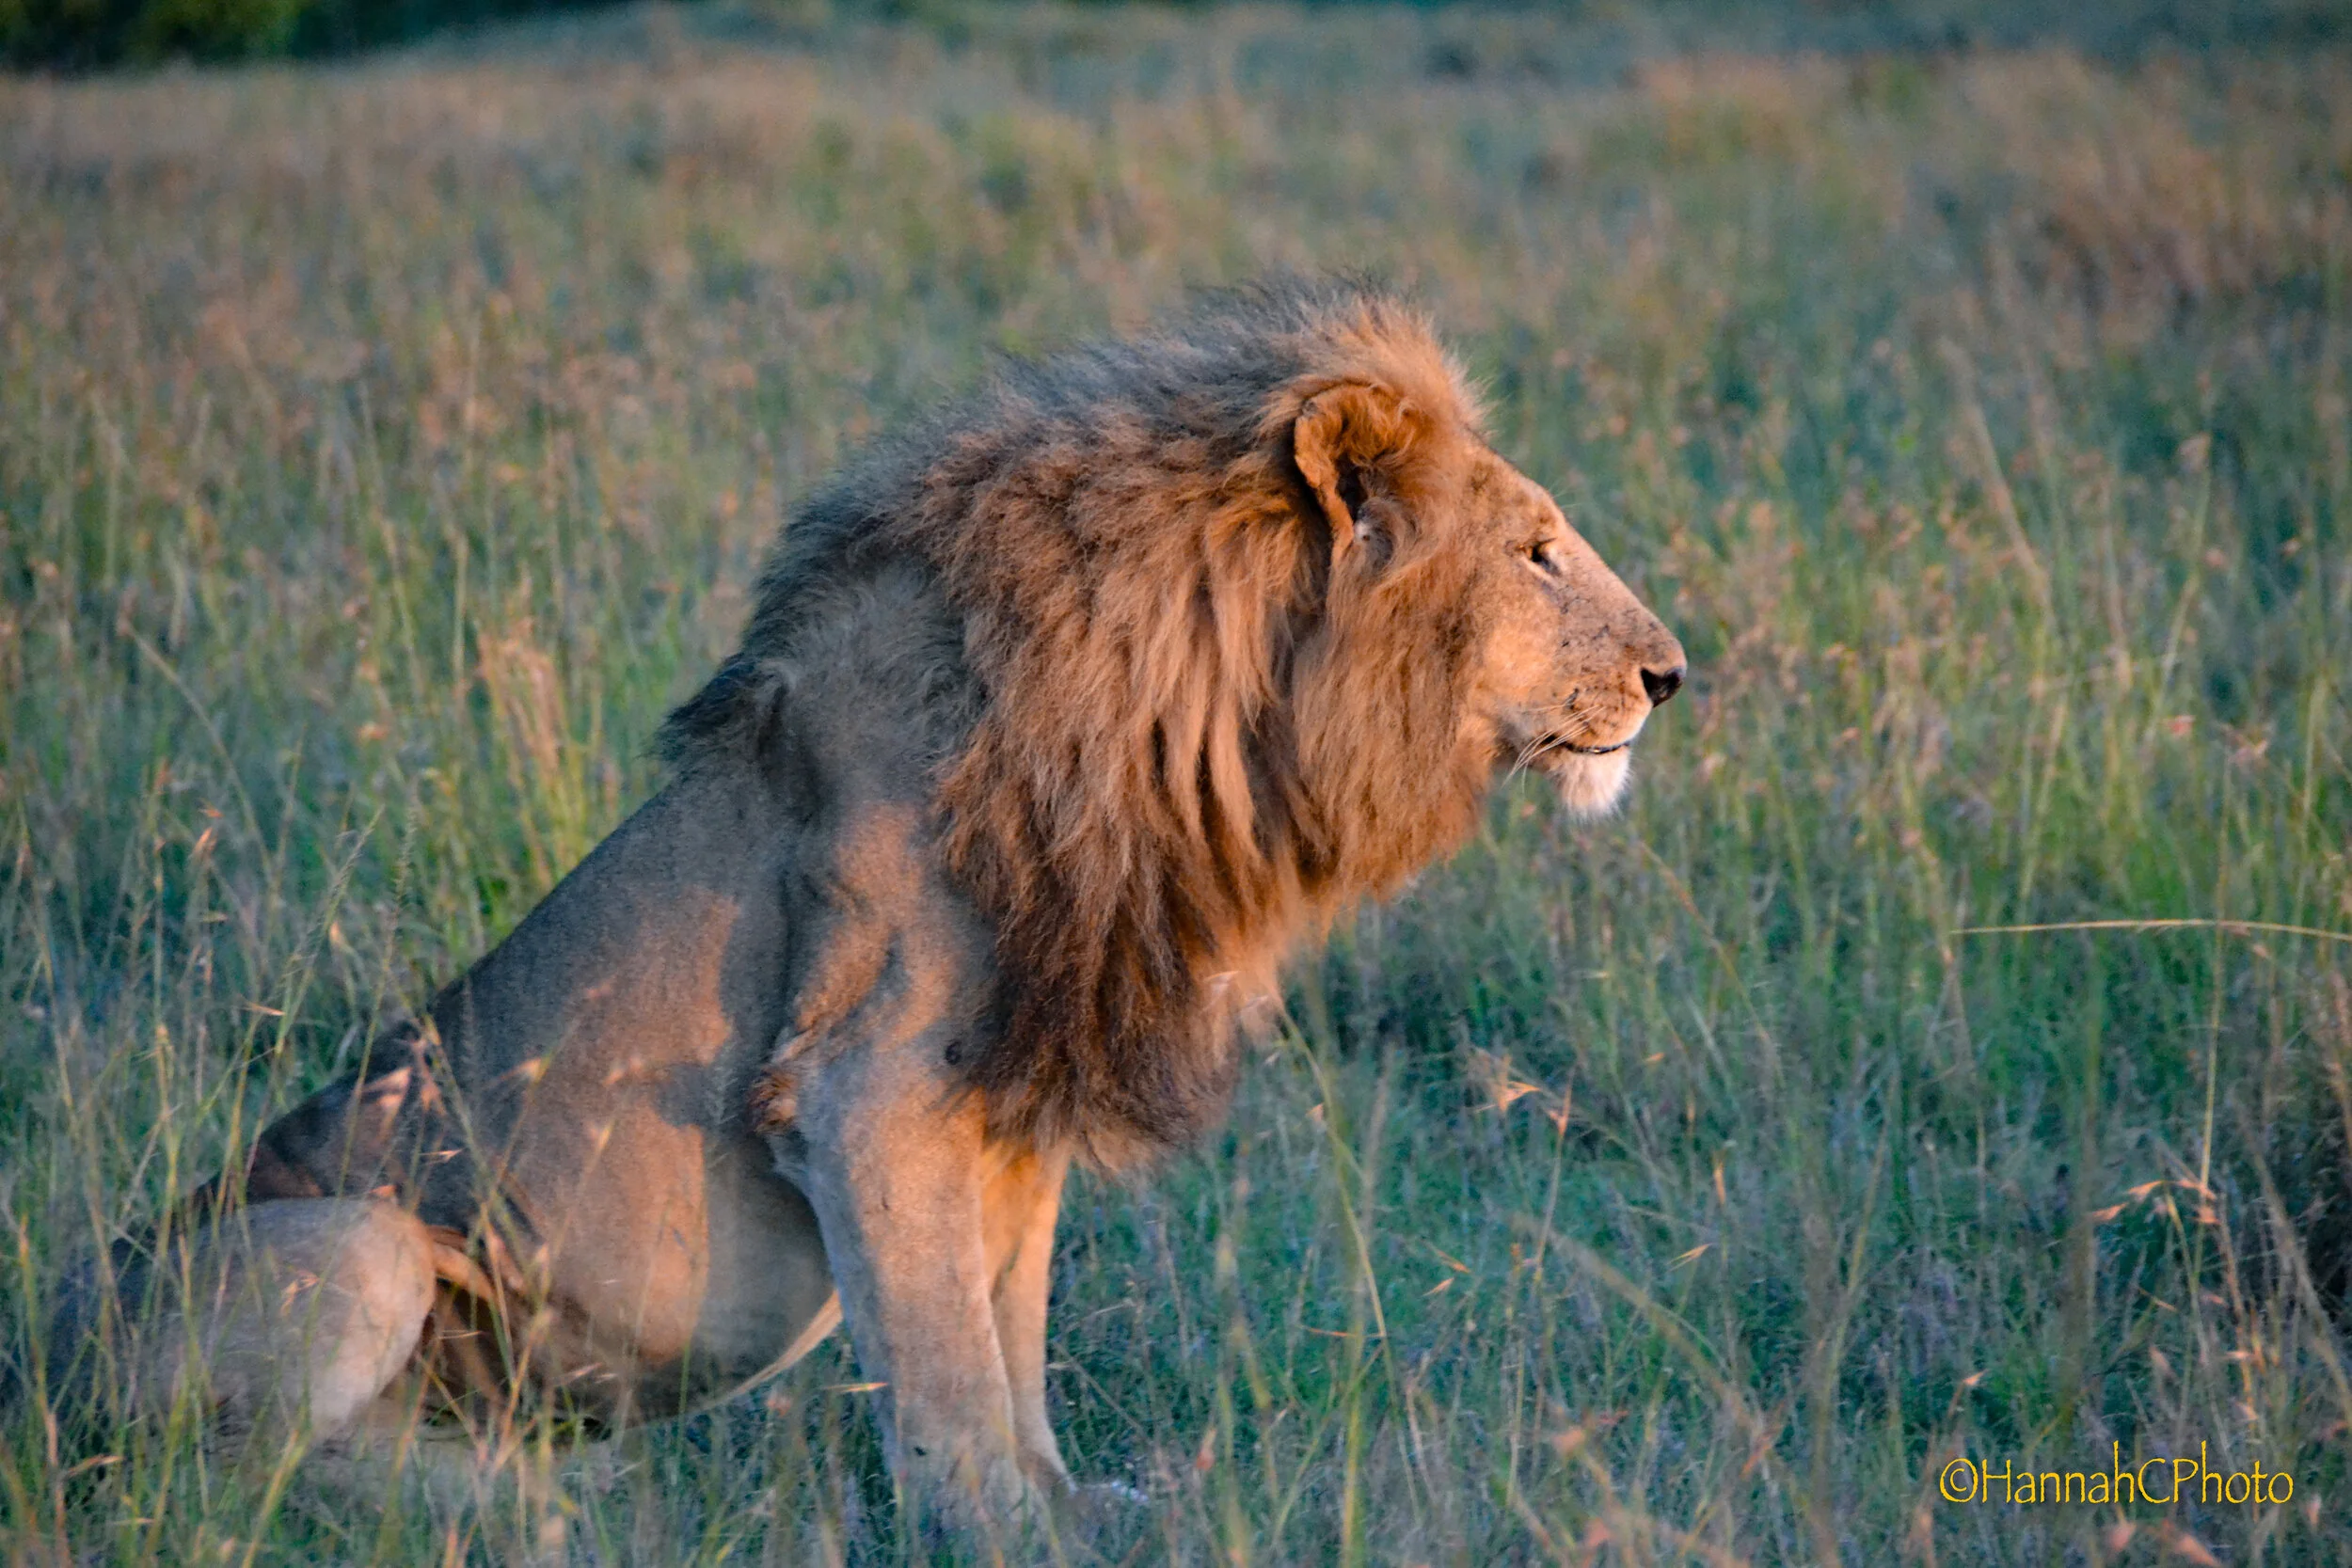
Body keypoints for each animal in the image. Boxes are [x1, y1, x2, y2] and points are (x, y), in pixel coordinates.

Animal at [34, 280, 1683, 1536]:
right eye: (1537, 551)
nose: (1674, 673)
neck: (1181, 728)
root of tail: (29, 1370)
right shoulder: (865, 1092)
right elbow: (945, 1374)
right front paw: (1008, 1537)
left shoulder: (1009, 1103)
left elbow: (1008, 1342)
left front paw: (1071, 1505)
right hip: (349, 1243)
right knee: (228, 1484)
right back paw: (527, 1503)